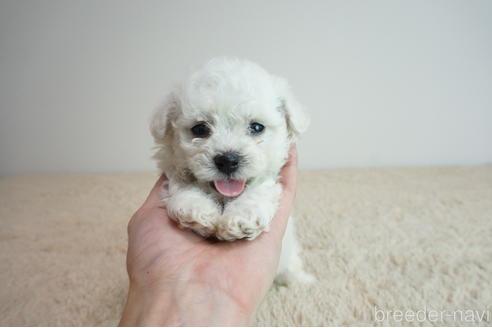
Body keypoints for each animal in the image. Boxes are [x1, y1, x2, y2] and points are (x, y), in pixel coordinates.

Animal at [150, 57, 314, 284]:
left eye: (256, 127)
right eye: (200, 129)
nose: (227, 160)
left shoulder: (270, 181)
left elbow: (260, 190)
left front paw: (242, 218)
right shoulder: (173, 170)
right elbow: (183, 187)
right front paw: (196, 209)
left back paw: (299, 279)